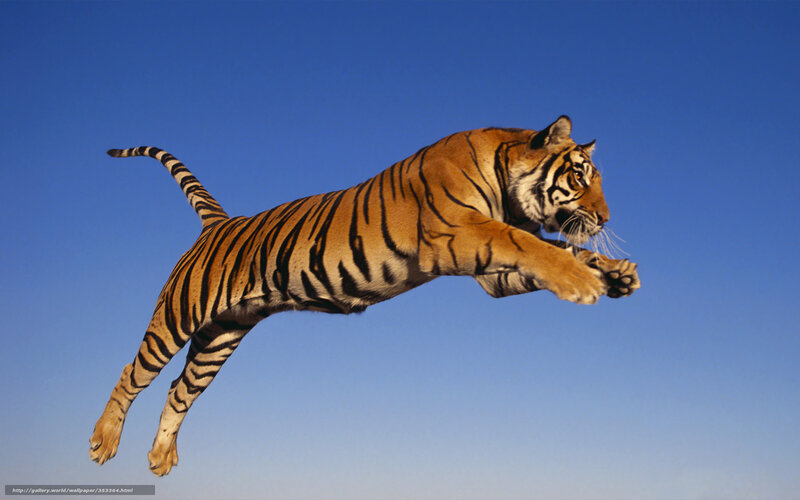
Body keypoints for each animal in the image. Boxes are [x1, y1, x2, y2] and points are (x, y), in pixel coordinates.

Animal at [89, 115, 640, 476]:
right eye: (578, 177)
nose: (606, 218)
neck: (506, 185)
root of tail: (219, 222)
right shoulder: (461, 234)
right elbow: (535, 245)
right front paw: (584, 282)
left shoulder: (490, 275)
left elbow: (557, 248)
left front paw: (616, 274)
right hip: (177, 316)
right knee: (133, 372)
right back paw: (103, 442)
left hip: (221, 336)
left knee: (179, 389)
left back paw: (160, 459)